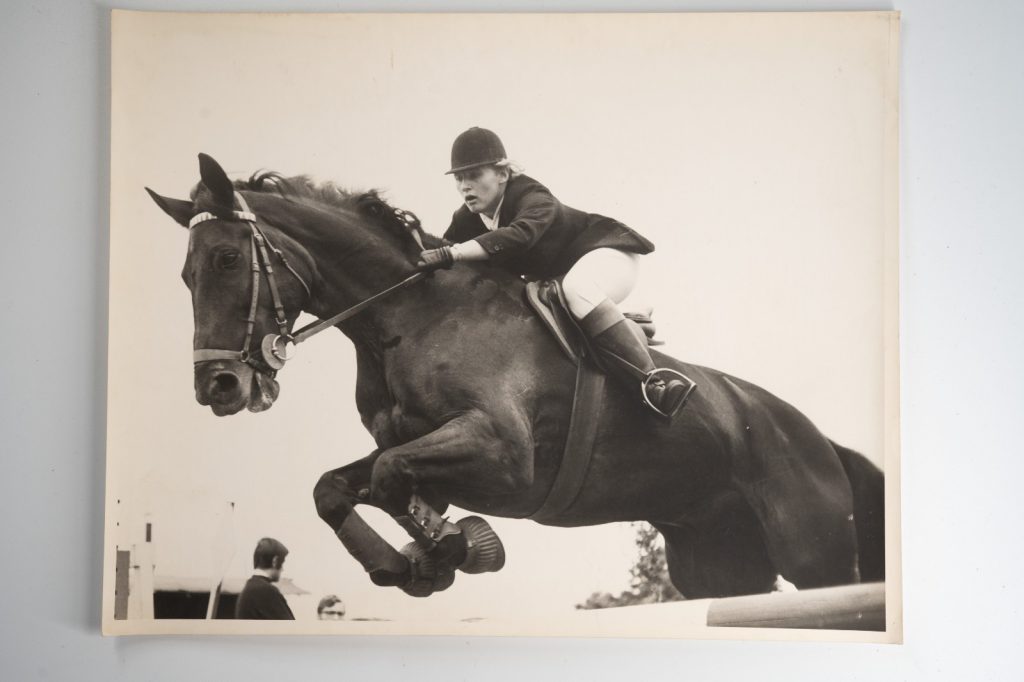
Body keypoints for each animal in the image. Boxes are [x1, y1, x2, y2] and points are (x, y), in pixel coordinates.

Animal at [146, 153, 885, 600]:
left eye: (227, 262)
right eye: (183, 274)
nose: (218, 388)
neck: (404, 317)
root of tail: (819, 440)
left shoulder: (504, 456)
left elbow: (389, 478)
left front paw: (448, 549)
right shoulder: (415, 442)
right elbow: (337, 488)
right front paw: (408, 561)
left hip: (814, 554)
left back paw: (664, 389)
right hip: (718, 561)